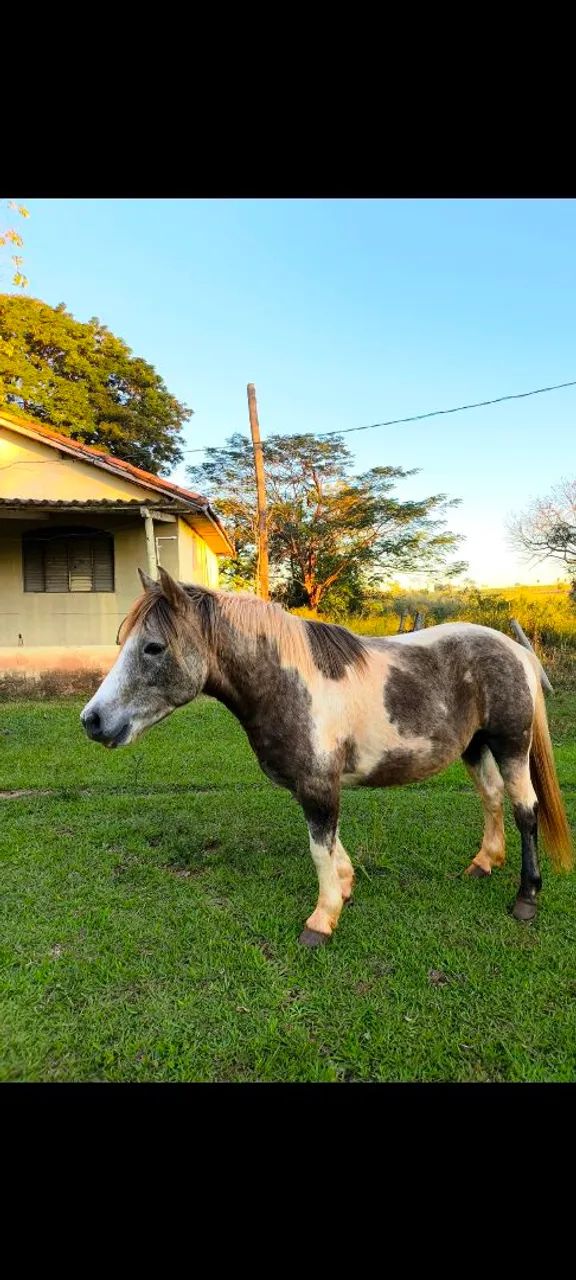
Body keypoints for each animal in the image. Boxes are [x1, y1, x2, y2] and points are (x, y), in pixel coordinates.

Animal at [81, 567, 573, 946]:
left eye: (153, 647)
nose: (93, 720)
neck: (290, 684)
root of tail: (516, 650)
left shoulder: (318, 786)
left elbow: (319, 848)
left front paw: (322, 919)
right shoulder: (314, 785)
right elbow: (332, 844)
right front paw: (346, 885)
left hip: (511, 745)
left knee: (525, 810)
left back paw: (527, 897)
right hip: (475, 746)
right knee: (491, 799)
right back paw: (484, 863)